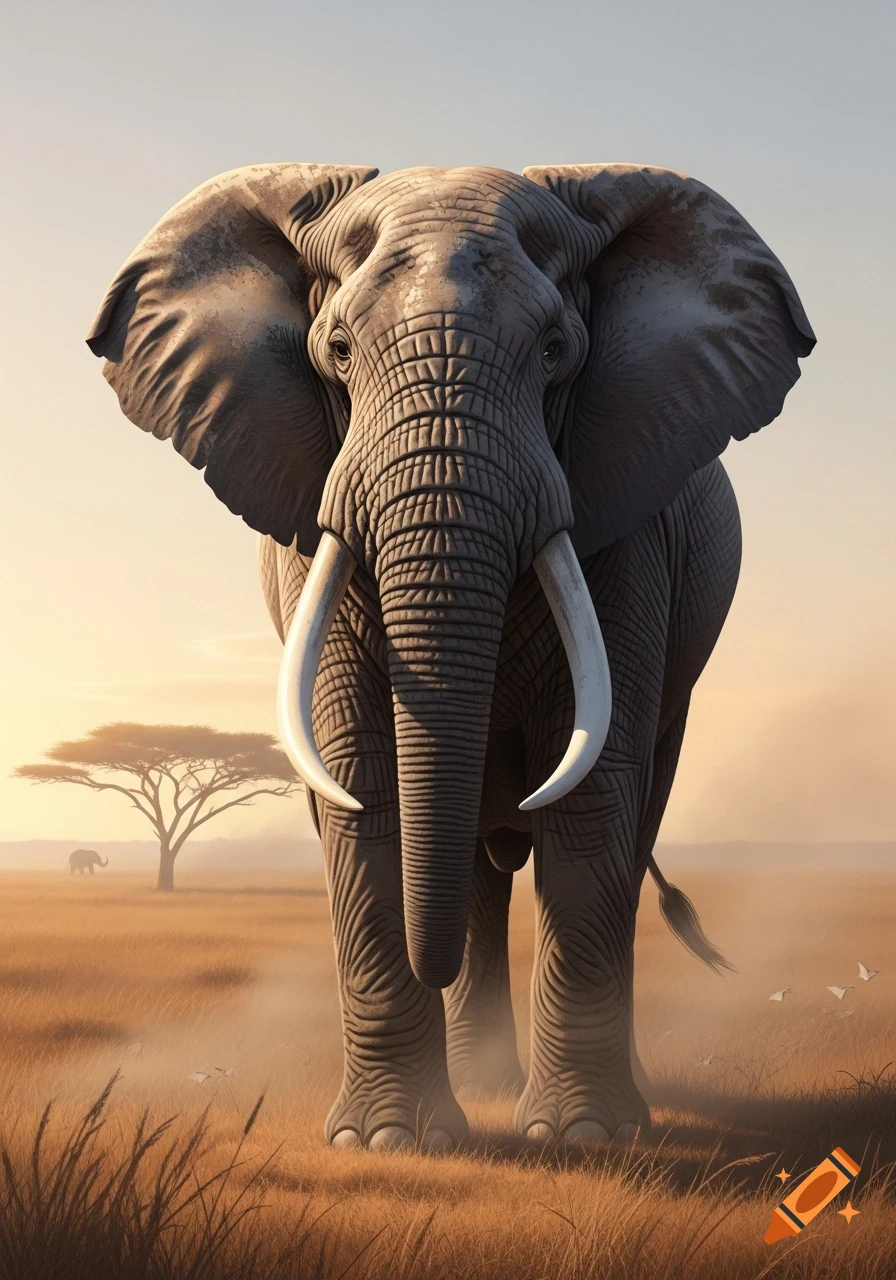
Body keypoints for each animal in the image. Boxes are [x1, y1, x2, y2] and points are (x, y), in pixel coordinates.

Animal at [87, 161, 814, 1151]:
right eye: (337, 351)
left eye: (555, 351)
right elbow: (362, 776)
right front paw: (387, 1143)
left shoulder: (628, 528)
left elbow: (592, 788)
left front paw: (583, 1139)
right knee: (472, 865)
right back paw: (481, 1082)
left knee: (626, 824)